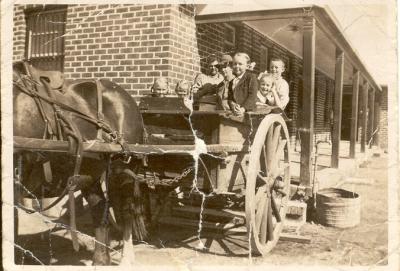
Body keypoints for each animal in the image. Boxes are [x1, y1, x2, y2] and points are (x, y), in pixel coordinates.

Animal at [14, 61, 148, 266]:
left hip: (123, 169)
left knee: (126, 210)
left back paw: (126, 258)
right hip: (90, 171)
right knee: (100, 208)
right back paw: (101, 260)